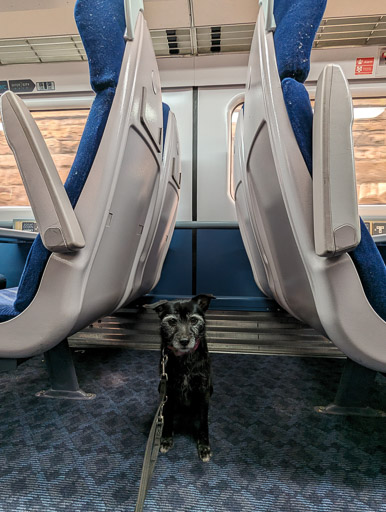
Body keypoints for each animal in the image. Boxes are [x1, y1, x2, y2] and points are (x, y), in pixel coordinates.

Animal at [146, 294, 216, 462]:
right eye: (172, 321)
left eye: (194, 320)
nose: (184, 341)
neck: (184, 358)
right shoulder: (168, 389)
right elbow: (168, 416)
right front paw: (165, 438)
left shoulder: (203, 390)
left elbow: (203, 422)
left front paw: (204, 446)